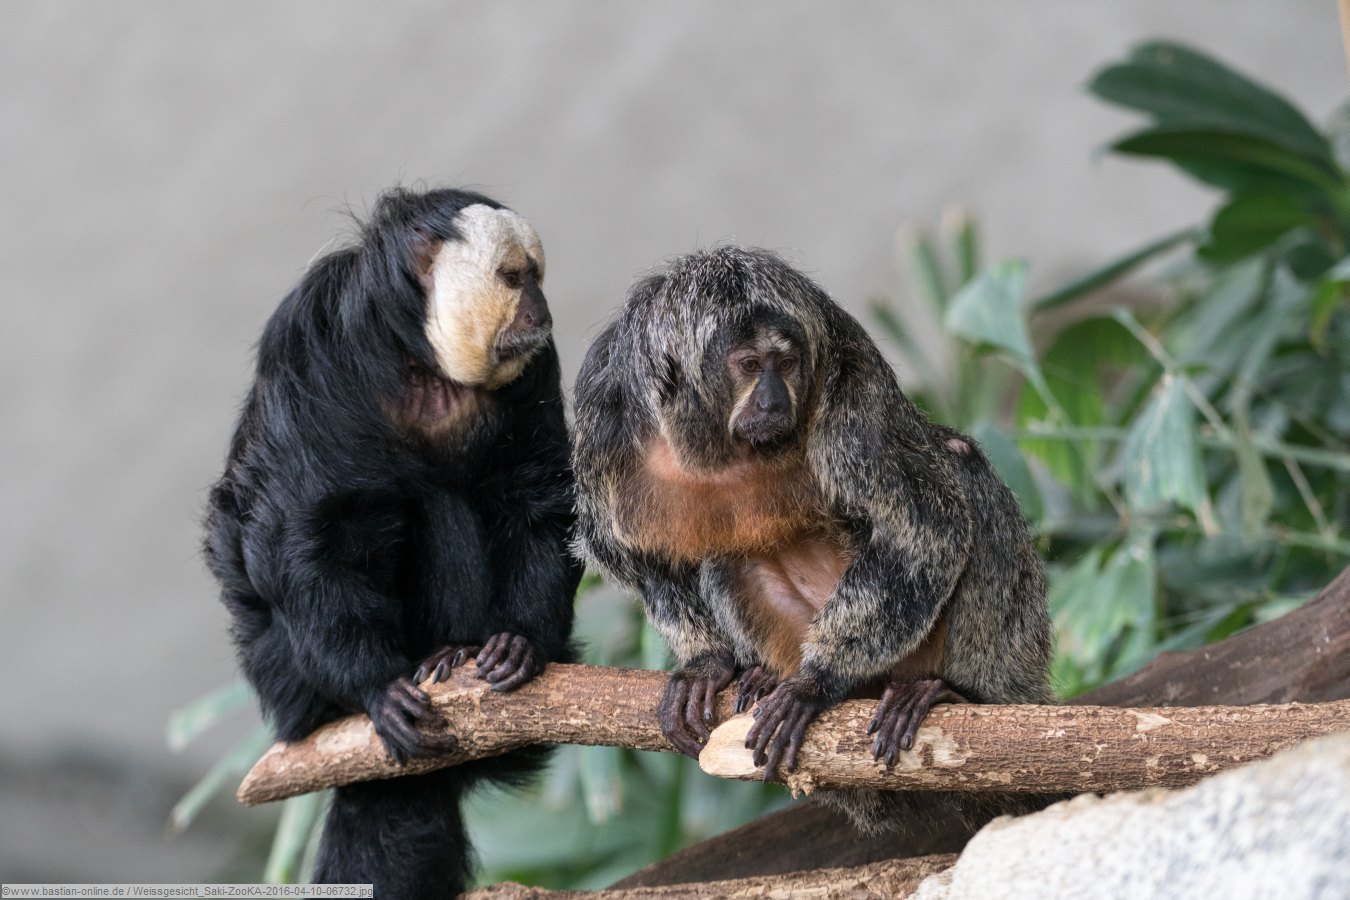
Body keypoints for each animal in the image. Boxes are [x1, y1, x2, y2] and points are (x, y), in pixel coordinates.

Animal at [203, 187, 580, 896]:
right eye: (514, 278)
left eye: (535, 277)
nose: (541, 309)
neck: (419, 365)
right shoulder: (313, 356)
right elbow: (307, 538)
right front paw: (376, 687)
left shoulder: (533, 371)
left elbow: (536, 496)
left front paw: (521, 640)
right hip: (288, 687)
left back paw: (455, 653)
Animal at [571, 245, 1053, 834]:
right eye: (749, 366)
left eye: (787, 364)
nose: (774, 399)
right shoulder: (602, 413)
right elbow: (637, 555)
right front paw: (706, 662)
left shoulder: (850, 383)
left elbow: (923, 531)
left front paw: (816, 682)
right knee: (724, 560)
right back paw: (760, 676)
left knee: (961, 468)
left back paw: (953, 694)